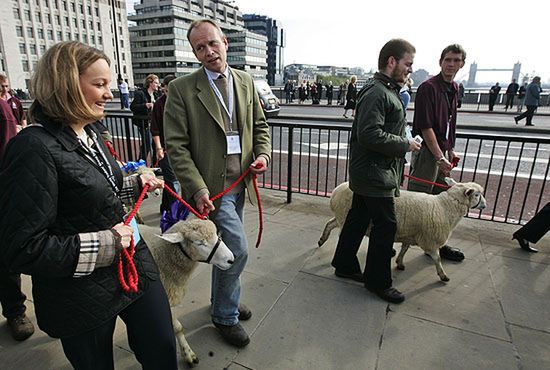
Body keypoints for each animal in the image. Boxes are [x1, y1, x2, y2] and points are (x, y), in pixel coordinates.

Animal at [139, 218, 234, 366]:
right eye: (199, 242)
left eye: (216, 233)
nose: (231, 259)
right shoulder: (165, 299)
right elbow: (178, 327)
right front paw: (188, 354)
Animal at [320, 179, 488, 280]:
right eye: (477, 195)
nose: (485, 205)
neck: (445, 206)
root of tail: (335, 192)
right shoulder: (429, 239)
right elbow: (437, 258)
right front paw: (443, 275)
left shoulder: (411, 233)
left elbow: (405, 249)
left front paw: (399, 262)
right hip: (346, 217)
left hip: (341, 216)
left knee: (330, 223)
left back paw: (322, 240)